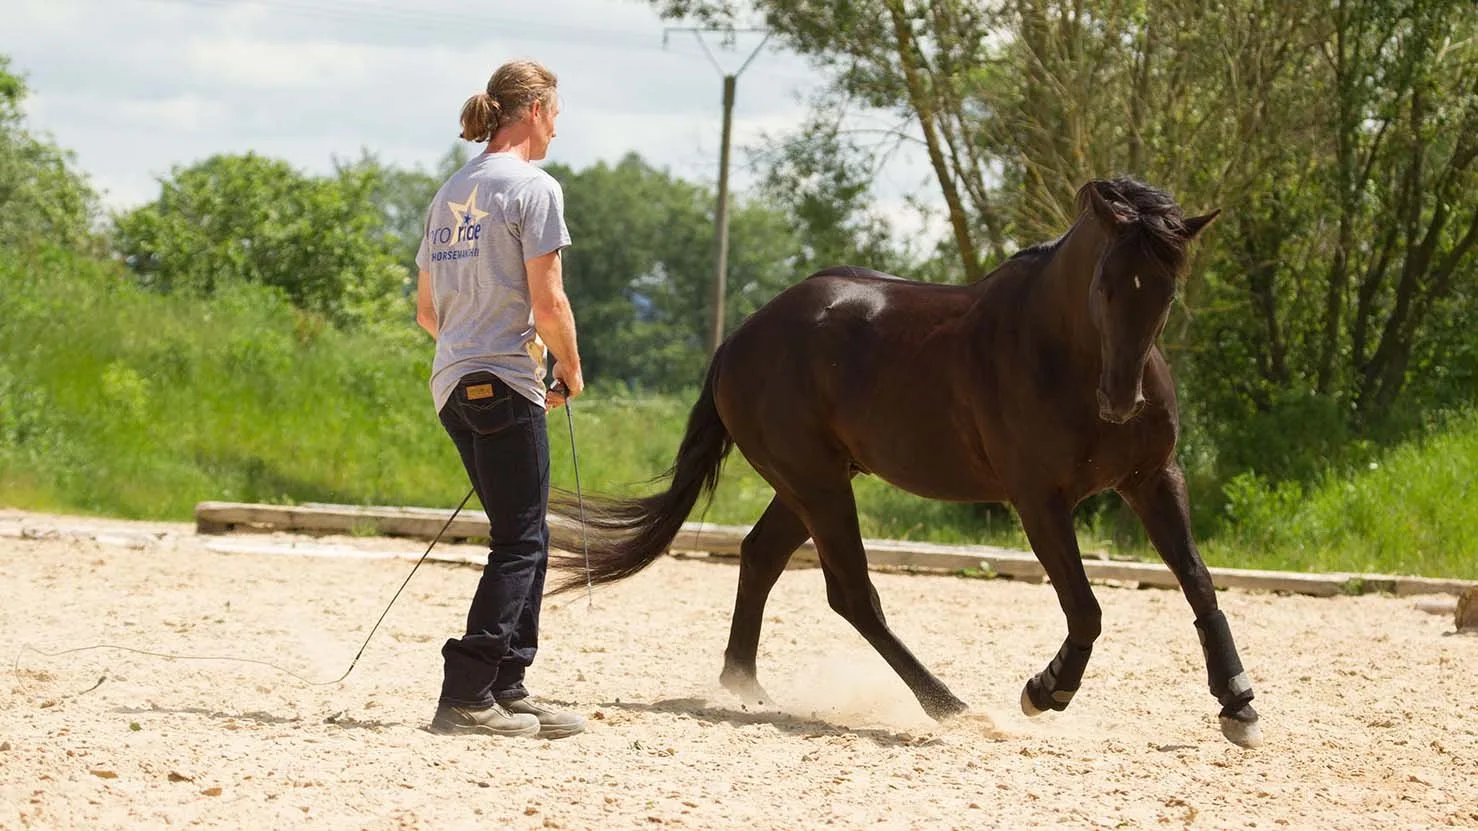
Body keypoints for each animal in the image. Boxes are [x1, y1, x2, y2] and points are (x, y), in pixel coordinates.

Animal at [548, 177, 1261, 748]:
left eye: (1167, 290)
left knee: (761, 557)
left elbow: (1198, 582)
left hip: (812, 484)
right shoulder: (1039, 500)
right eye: (1106, 285)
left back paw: (745, 688)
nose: (1120, 402)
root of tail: (741, 336)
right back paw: (950, 706)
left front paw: (1239, 705)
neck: (1062, 353)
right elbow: (1086, 608)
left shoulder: (1152, 480)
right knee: (852, 594)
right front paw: (1045, 690)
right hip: (819, 486)